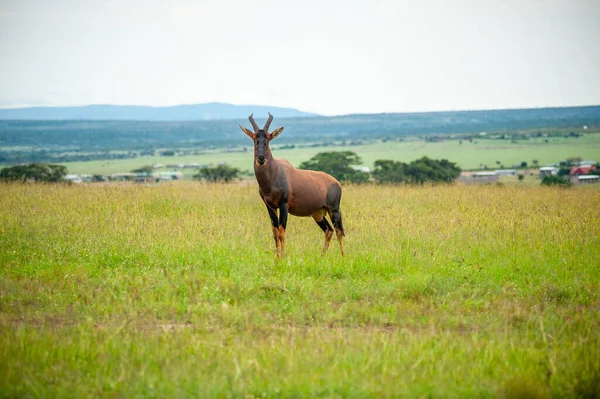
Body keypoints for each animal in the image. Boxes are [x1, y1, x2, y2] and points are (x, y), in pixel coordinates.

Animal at [238, 112, 344, 258]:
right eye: (254, 139)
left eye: (268, 139)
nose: (261, 158)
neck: (275, 172)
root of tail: (336, 182)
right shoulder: (270, 206)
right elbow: (275, 232)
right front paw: (277, 257)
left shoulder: (284, 204)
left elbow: (282, 232)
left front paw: (282, 257)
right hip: (317, 213)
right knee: (329, 230)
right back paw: (322, 257)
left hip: (333, 209)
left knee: (339, 231)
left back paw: (343, 257)